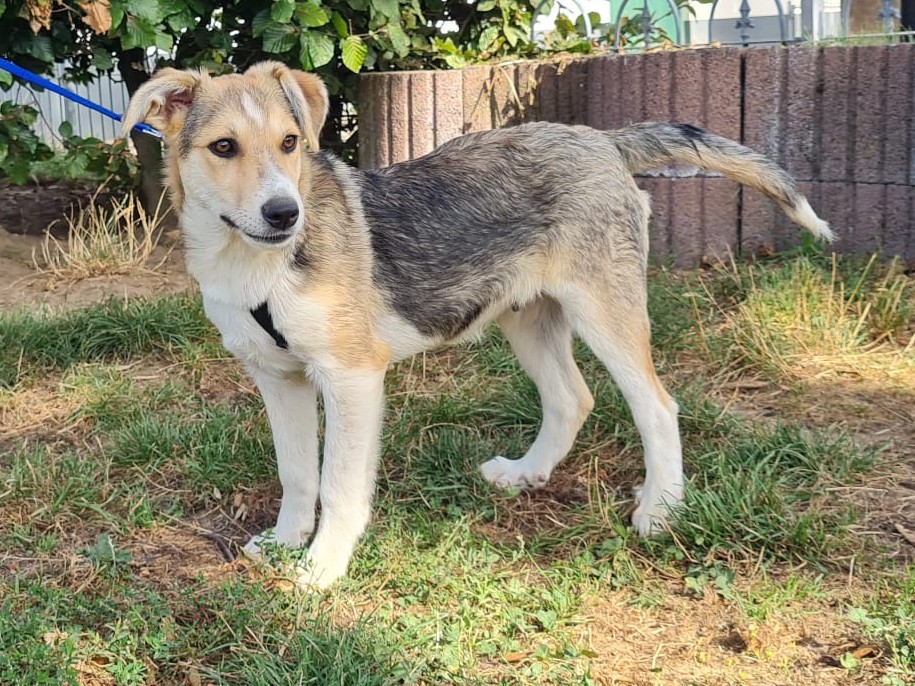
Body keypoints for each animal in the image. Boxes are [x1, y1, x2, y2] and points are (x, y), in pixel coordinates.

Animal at [122, 61, 833, 589]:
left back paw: (661, 509)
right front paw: (284, 542)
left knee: (657, 407)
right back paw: (528, 474)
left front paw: (323, 567)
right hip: (529, 319)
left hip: (606, 311)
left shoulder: (351, 377)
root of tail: (601, 140)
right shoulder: (279, 379)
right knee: (573, 399)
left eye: (290, 144)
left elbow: (339, 484)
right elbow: (297, 473)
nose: (283, 213)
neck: (258, 265)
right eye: (223, 148)